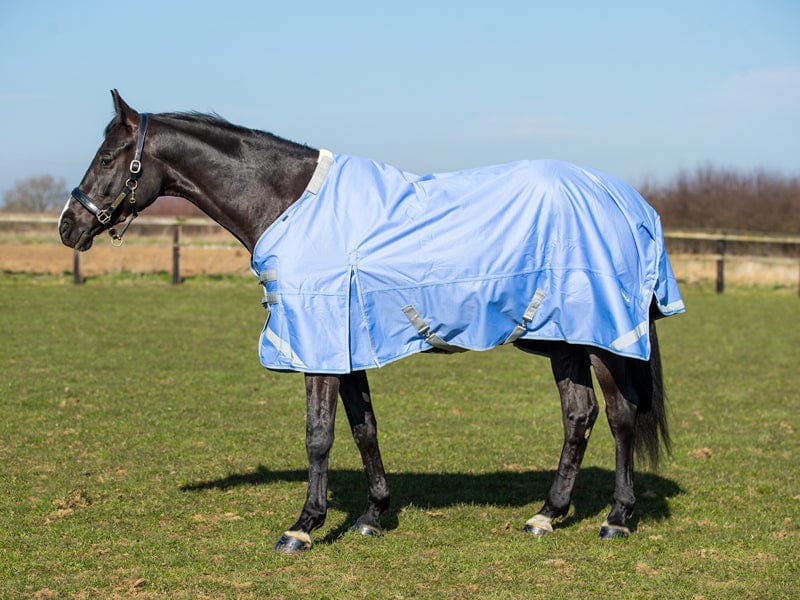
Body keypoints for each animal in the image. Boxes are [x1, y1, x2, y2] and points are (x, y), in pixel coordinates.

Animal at [59, 90, 684, 554]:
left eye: (109, 158)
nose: (69, 226)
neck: (289, 203)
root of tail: (631, 204)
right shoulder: (346, 345)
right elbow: (364, 429)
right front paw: (372, 515)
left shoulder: (318, 344)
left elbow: (318, 436)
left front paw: (302, 527)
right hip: (561, 340)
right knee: (579, 417)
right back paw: (546, 515)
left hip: (602, 338)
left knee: (621, 418)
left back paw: (616, 518)